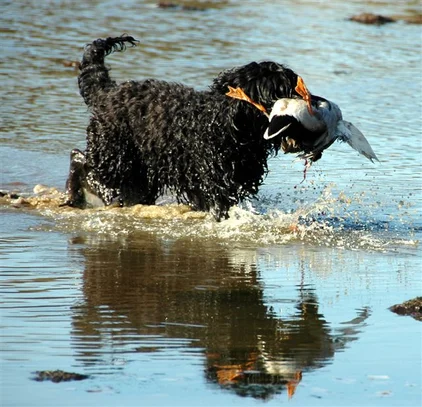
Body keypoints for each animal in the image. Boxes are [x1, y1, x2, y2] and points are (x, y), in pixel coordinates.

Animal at [67, 35, 310, 220]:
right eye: (281, 89)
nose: (310, 99)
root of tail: (108, 92)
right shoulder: (214, 187)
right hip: (112, 157)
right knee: (80, 160)